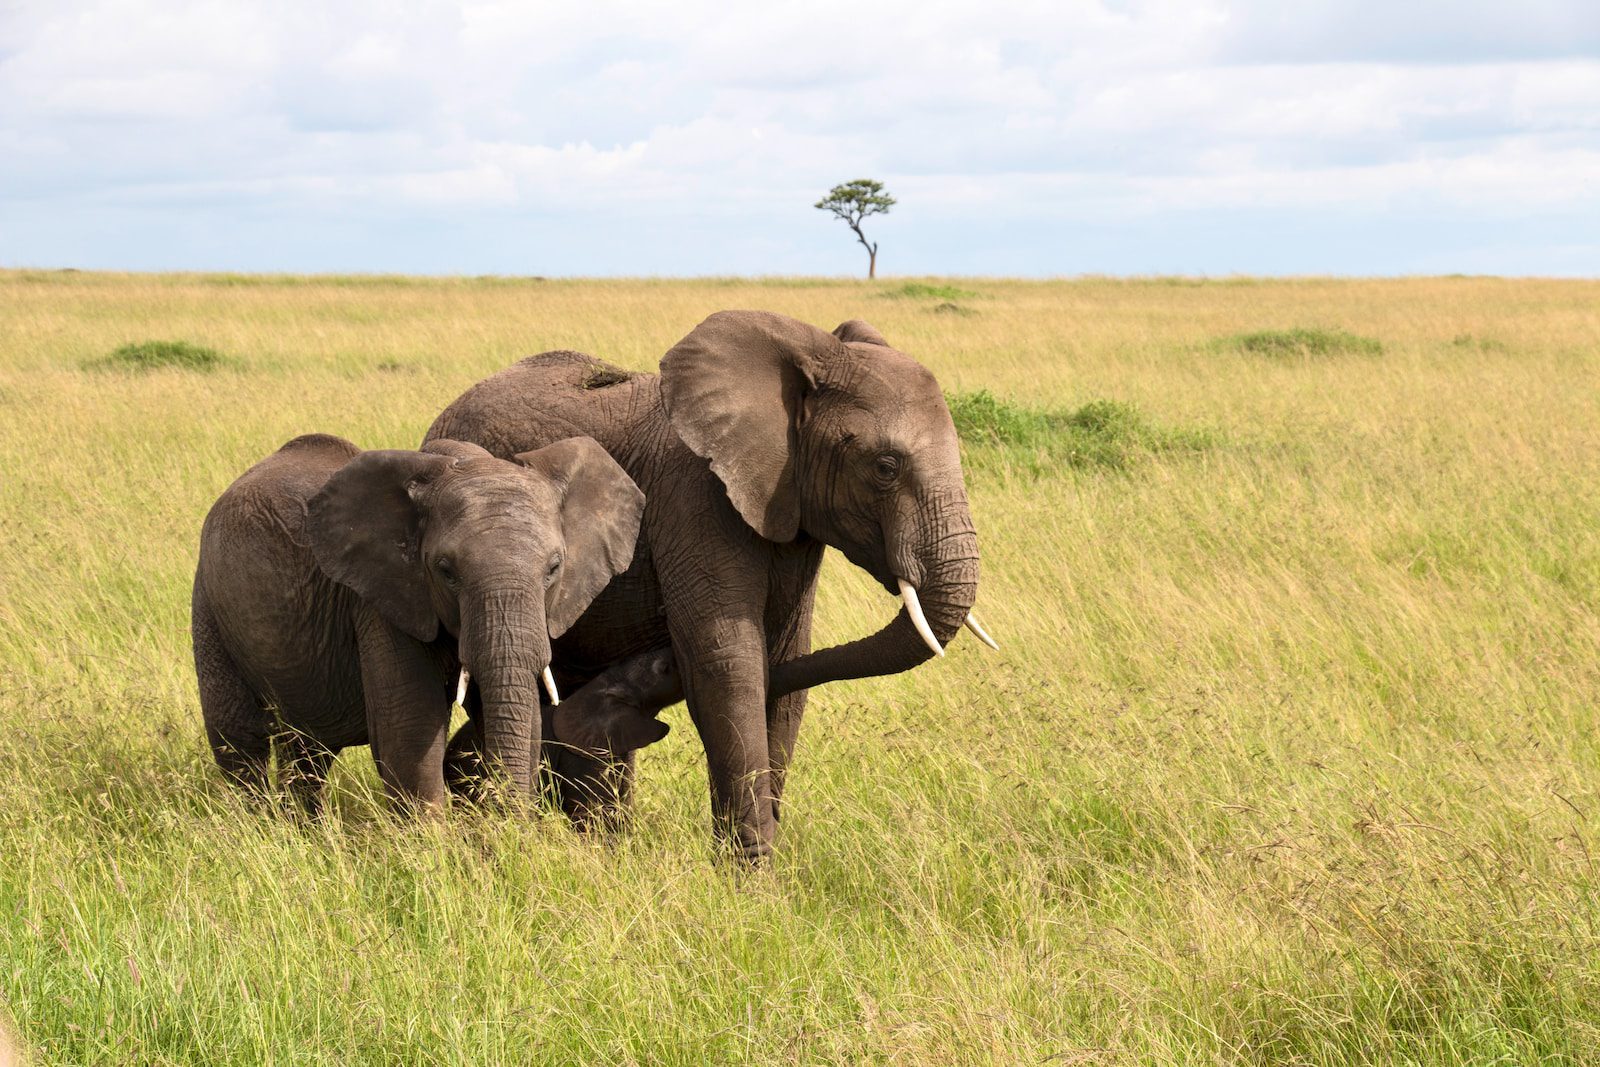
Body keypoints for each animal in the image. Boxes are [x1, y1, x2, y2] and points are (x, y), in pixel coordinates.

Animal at [196, 428, 646, 812]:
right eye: (446, 571)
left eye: (554, 568)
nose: (517, 826)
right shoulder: (382, 600)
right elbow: (411, 726)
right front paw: (433, 848)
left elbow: (514, 712)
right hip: (209, 606)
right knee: (241, 741)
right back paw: (256, 824)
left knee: (306, 747)